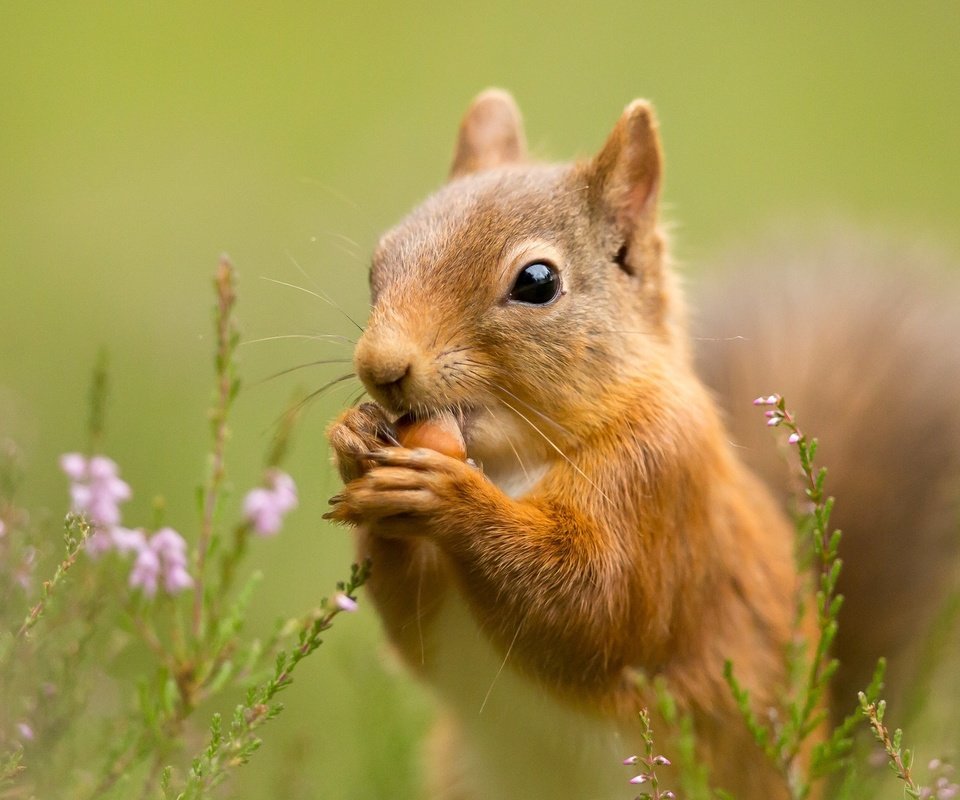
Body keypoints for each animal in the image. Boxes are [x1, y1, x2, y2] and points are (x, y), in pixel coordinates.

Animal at [324, 89, 960, 800]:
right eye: (378, 262)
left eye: (537, 282)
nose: (381, 367)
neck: (514, 461)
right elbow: (415, 629)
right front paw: (354, 441)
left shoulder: (660, 481)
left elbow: (591, 603)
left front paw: (447, 495)